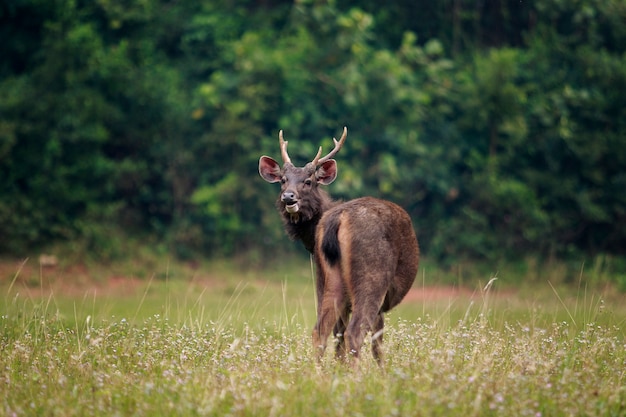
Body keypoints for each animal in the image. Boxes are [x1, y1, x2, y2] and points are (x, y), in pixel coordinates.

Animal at [258, 127, 420, 364]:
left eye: (309, 181)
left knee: (321, 331)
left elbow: (338, 339)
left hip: (329, 279)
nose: (288, 196)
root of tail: (339, 219)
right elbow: (376, 345)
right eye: (283, 180)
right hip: (372, 276)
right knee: (354, 332)